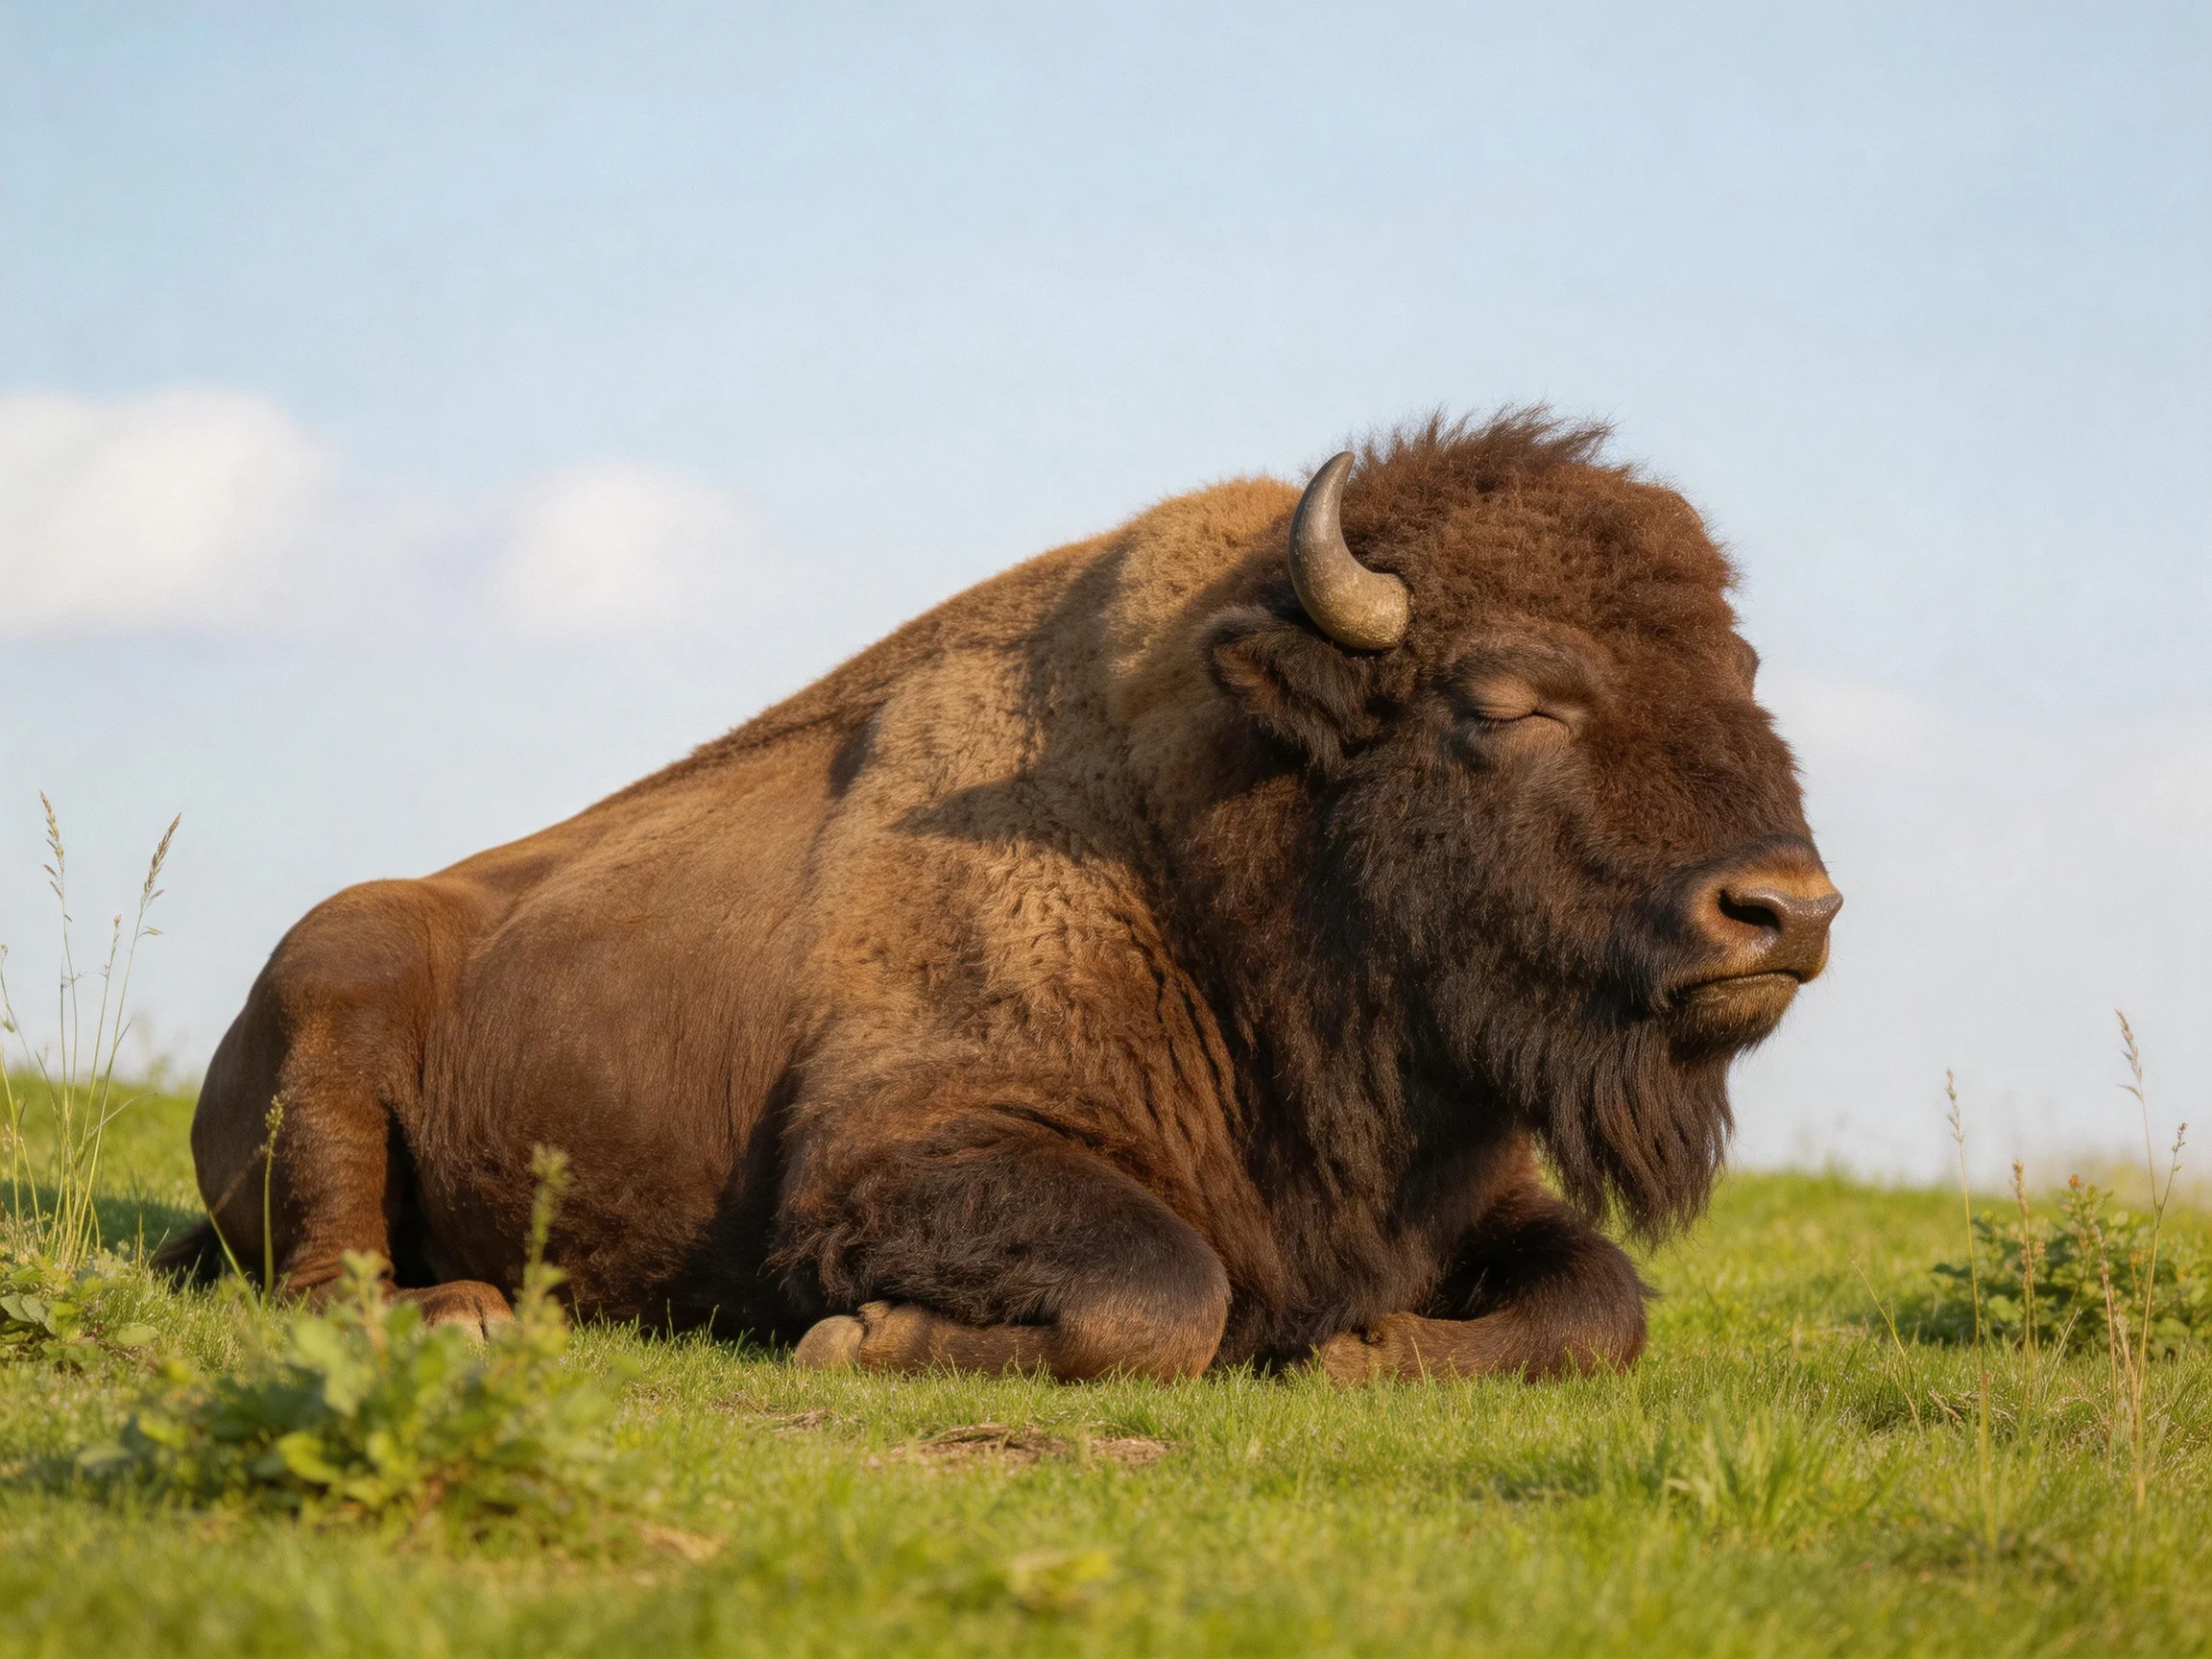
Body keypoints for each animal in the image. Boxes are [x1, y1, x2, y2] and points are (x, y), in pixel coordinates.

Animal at [157, 411, 1839, 1382]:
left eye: (1745, 672)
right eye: (1506, 699)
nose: (1786, 911)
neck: (1212, 856)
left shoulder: (1479, 1188)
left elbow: (1602, 1305)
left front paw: (1368, 1347)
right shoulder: (899, 1153)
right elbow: (1165, 1295)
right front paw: (860, 1339)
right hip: (337, 1007)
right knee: (325, 1267)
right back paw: (467, 1314)